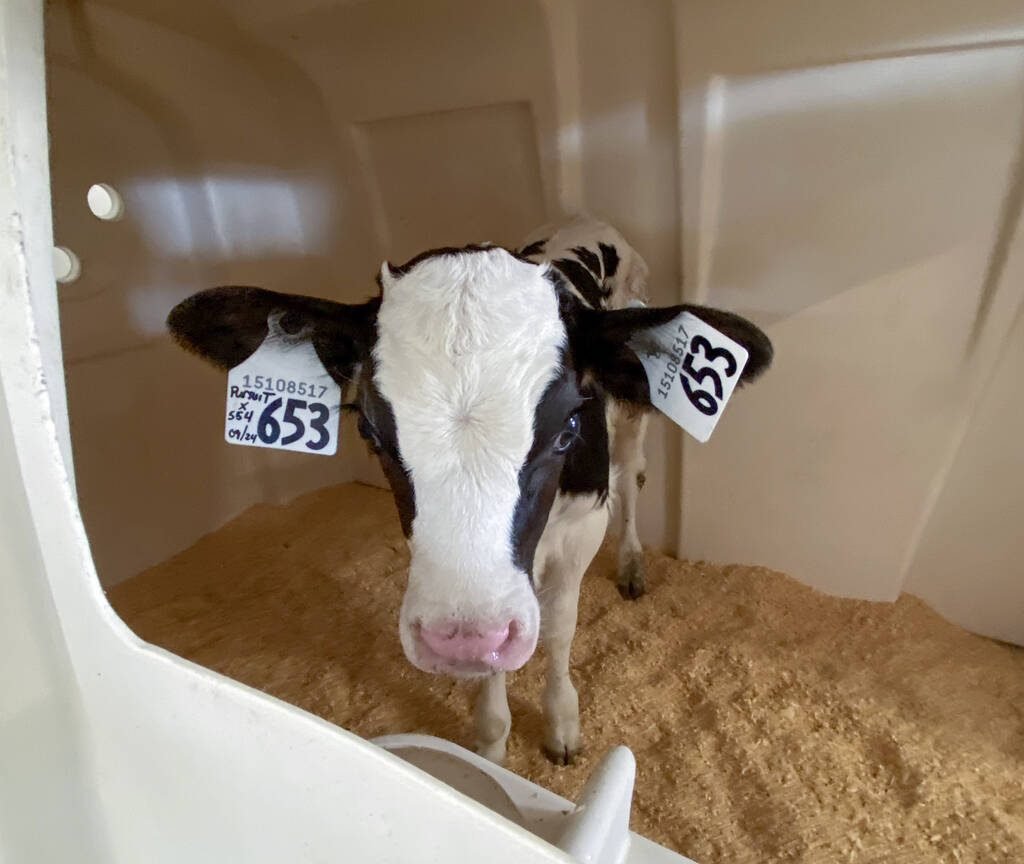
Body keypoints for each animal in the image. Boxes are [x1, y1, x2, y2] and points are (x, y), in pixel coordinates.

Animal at [167, 217, 772, 765]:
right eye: (369, 431)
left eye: (568, 428)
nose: (460, 638)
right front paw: (491, 742)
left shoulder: (582, 524)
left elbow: (559, 628)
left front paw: (562, 723)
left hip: (631, 415)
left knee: (631, 475)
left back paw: (632, 564)